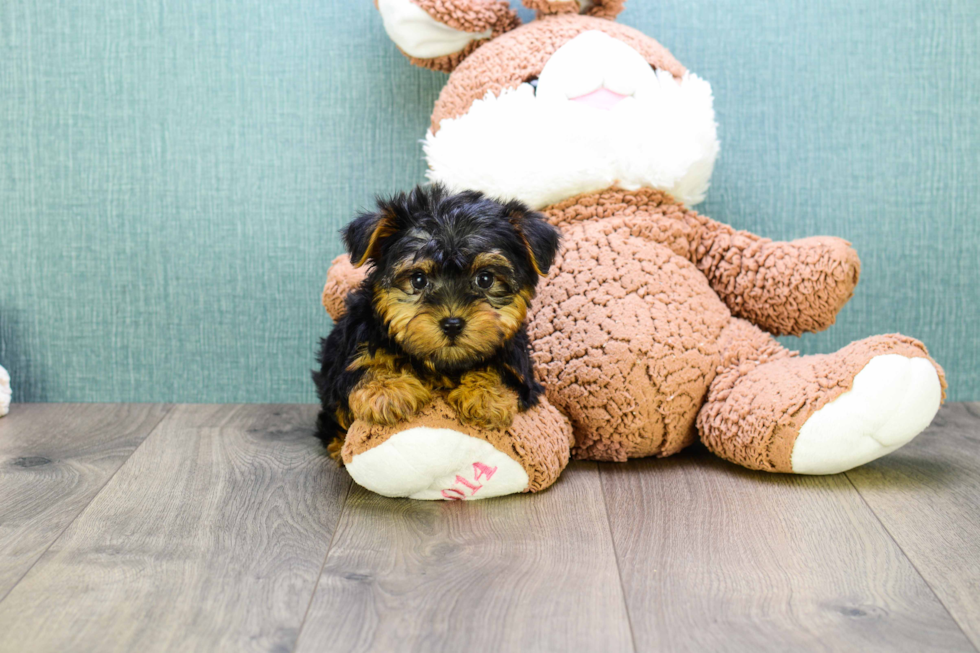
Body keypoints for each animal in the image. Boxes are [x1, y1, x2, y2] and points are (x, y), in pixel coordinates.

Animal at [314, 182, 560, 458]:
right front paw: (388, 390)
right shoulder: (356, 341)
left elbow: (504, 369)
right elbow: (362, 363)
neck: (442, 364)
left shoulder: (520, 364)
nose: (452, 324)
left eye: (485, 279)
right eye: (418, 280)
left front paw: (486, 396)